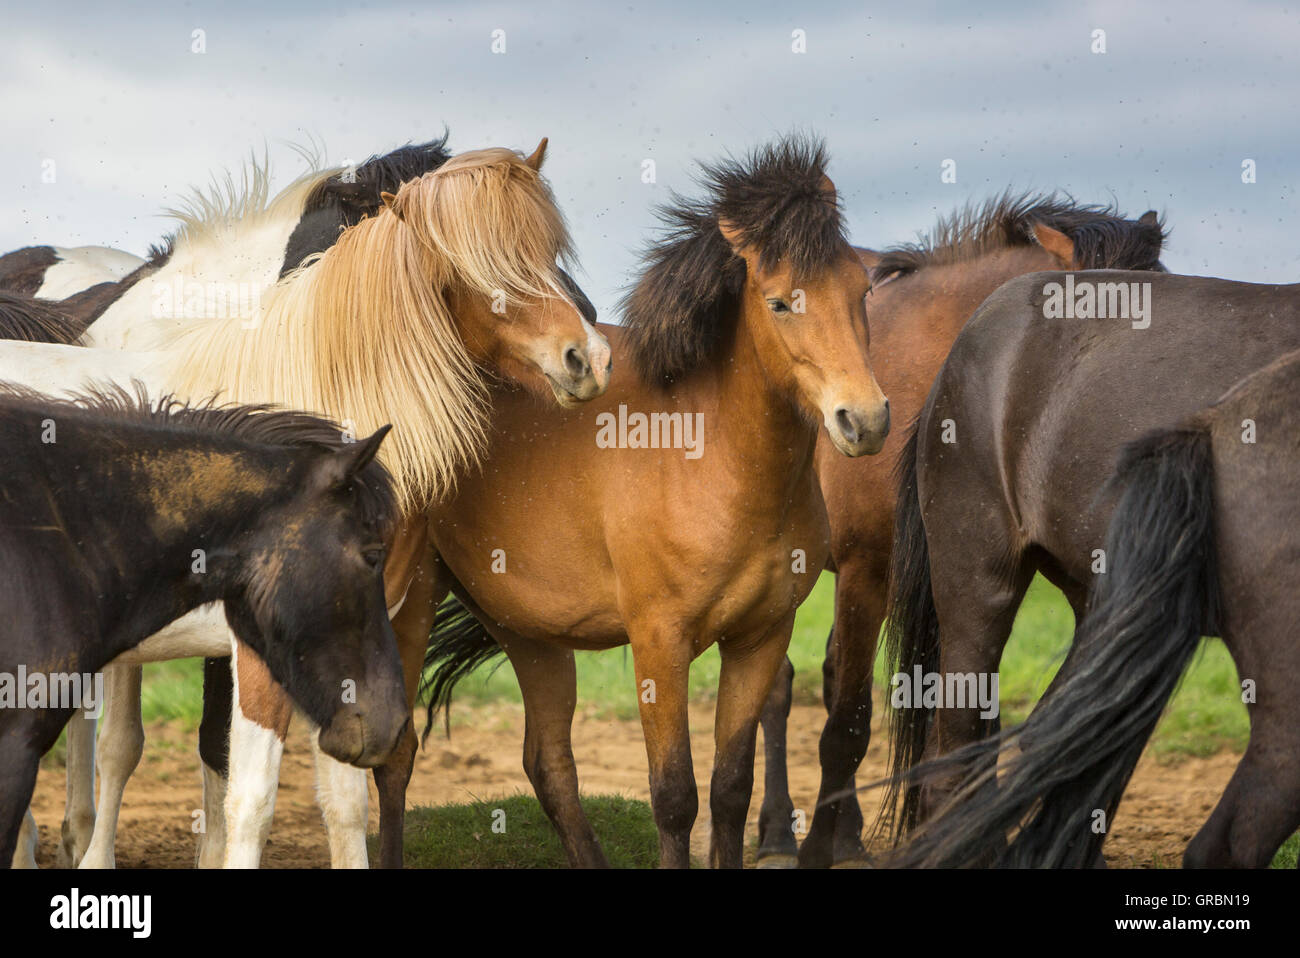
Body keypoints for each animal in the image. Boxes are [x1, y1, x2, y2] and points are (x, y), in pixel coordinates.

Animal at [358, 132, 894, 868]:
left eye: (862, 290)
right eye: (781, 302)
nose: (864, 421)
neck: (709, 455)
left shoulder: (759, 638)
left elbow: (731, 788)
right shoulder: (659, 643)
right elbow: (675, 798)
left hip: (529, 630)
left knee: (548, 765)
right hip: (411, 605)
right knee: (396, 758)